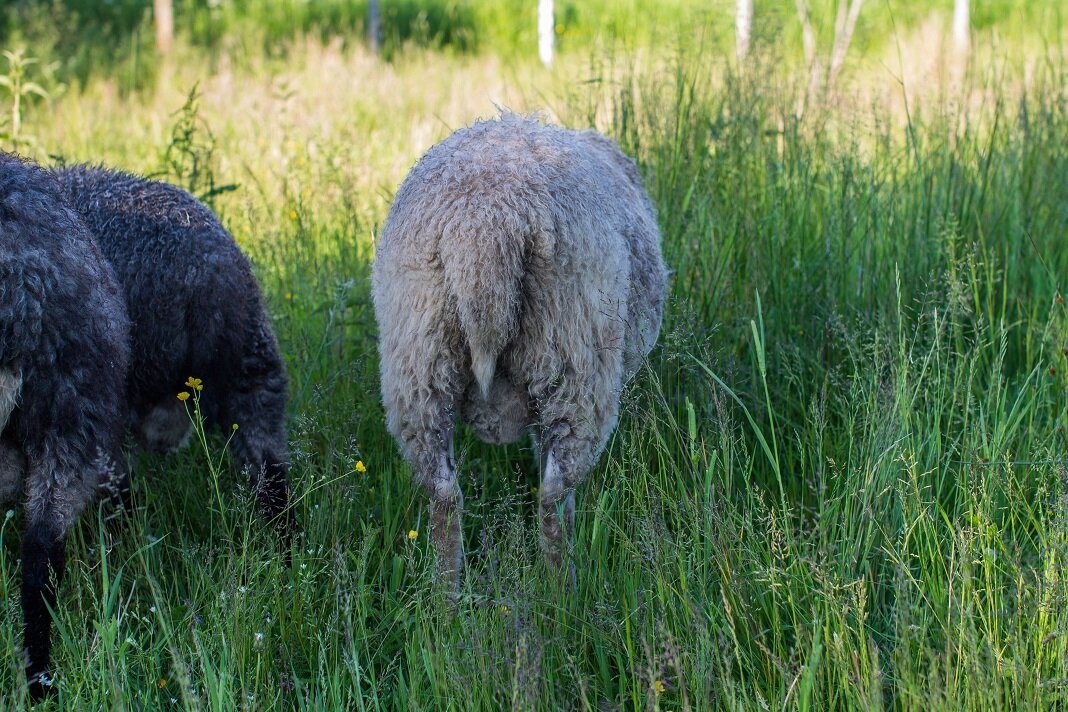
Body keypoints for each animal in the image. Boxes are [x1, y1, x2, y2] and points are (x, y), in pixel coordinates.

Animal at [54, 164, 294, 538]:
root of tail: (203, 276)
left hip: (116, 387)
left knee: (117, 486)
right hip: (251, 362)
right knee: (269, 463)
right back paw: (284, 538)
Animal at [371, 114, 662, 589]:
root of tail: (483, 227)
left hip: (418, 359)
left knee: (444, 495)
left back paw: (446, 597)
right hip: (573, 355)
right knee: (554, 495)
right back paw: (564, 589)